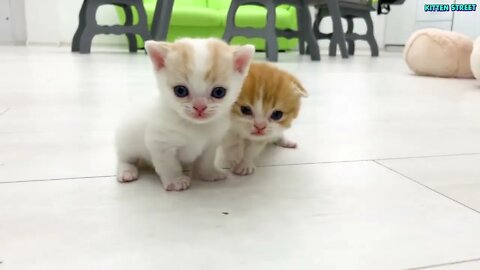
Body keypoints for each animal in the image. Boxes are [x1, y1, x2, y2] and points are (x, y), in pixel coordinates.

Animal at [115, 38, 255, 191]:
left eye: (219, 92)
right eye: (180, 91)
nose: (200, 107)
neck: (194, 125)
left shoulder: (212, 142)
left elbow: (206, 161)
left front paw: (209, 173)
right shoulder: (161, 143)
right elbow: (169, 165)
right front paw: (176, 180)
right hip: (127, 141)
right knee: (125, 159)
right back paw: (127, 171)